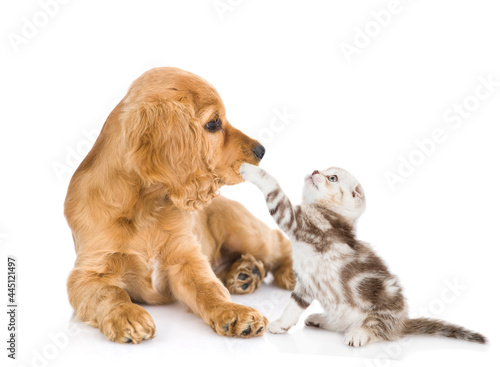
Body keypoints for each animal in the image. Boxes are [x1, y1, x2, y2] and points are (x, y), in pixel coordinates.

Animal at [64, 67, 294, 344]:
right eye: (214, 123)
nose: (261, 150)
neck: (145, 206)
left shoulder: (185, 257)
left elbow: (209, 289)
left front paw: (234, 312)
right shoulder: (88, 273)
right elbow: (110, 293)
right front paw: (127, 314)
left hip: (244, 232)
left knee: (279, 242)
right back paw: (245, 273)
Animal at [240, 164, 486, 348]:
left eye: (332, 177)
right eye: (323, 169)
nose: (315, 171)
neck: (330, 213)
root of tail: (402, 323)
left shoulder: (297, 220)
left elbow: (274, 188)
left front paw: (251, 170)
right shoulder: (306, 285)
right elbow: (293, 306)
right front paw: (281, 324)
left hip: (385, 305)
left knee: (379, 329)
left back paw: (359, 333)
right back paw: (320, 319)